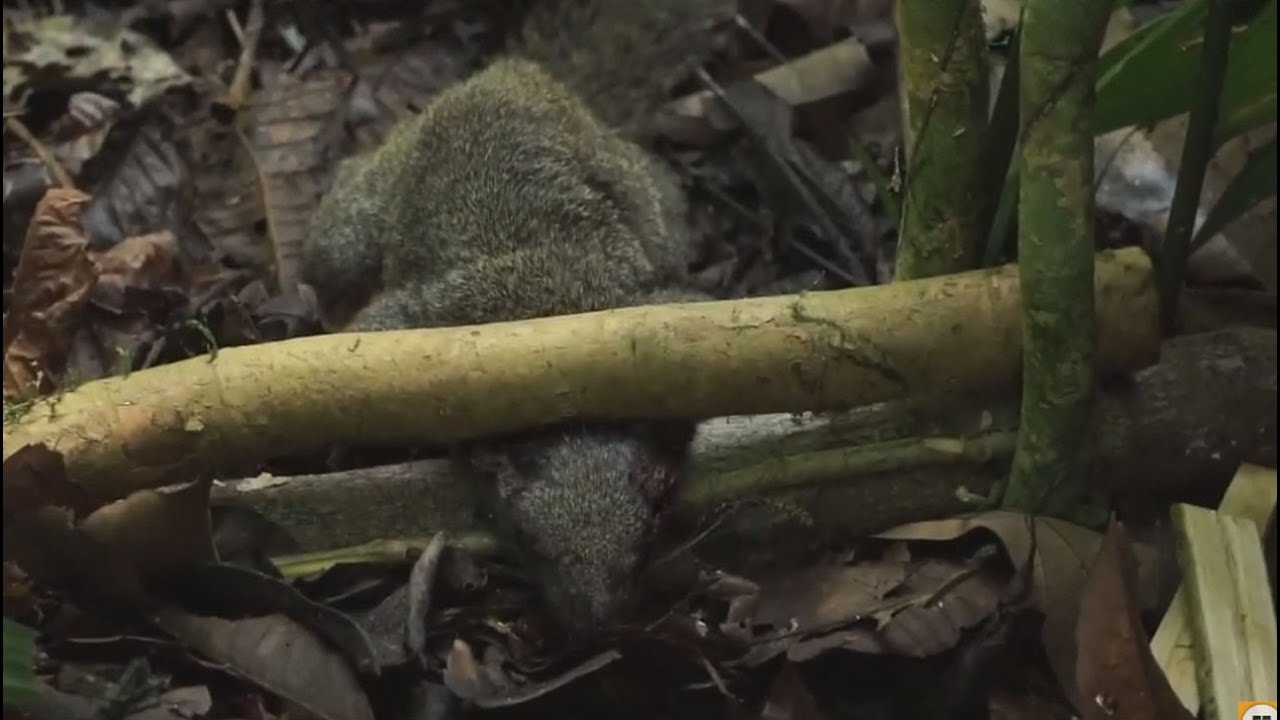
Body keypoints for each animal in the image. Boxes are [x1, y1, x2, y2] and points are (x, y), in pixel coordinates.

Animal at [300, 0, 734, 629]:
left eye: (645, 538)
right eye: (528, 541)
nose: (595, 620)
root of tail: (512, 73)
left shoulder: (653, 311)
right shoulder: (429, 324)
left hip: (645, 196)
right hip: (358, 217)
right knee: (336, 237)